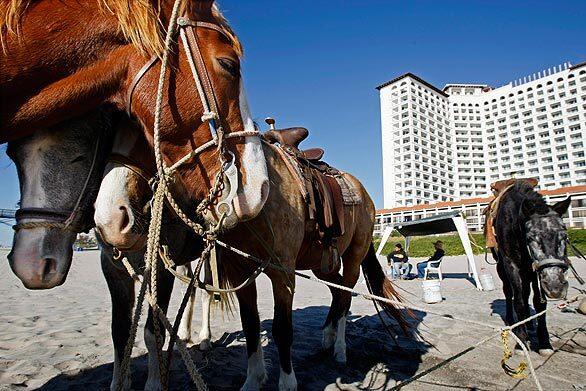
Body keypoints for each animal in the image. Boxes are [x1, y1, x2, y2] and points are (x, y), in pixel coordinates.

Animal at [96, 125, 406, 388]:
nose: (111, 219)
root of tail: (364, 194)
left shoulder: (283, 273)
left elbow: (282, 328)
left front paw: (287, 383)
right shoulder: (237, 270)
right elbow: (251, 324)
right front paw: (253, 380)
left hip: (354, 255)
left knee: (346, 294)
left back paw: (339, 348)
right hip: (320, 261)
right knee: (336, 290)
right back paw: (327, 337)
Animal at [490, 182, 568, 356]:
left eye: (564, 237)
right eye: (531, 238)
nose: (555, 286)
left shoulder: (535, 270)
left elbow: (539, 303)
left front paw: (544, 341)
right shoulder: (511, 264)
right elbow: (518, 300)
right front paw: (521, 340)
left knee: (526, 293)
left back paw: (530, 323)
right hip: (502, 269)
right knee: (510, 292)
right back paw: (513, 320)